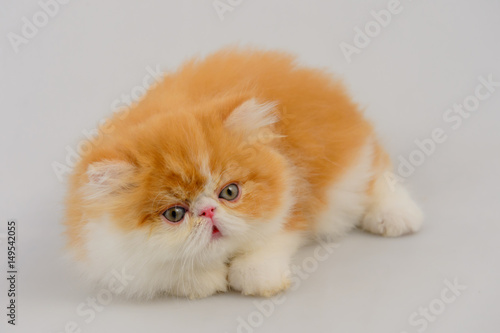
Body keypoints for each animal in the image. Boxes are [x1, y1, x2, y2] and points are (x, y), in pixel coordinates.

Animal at [63, 47, 422, 298]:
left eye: (230, 192)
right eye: (175, 214)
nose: (208, 211)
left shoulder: (294, 196)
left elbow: (270, 240)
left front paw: (256, 276)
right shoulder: (107, 251)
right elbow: (167, 268)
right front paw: (202, 280)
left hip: (349, 161)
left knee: (375, 172)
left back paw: (396, 215)